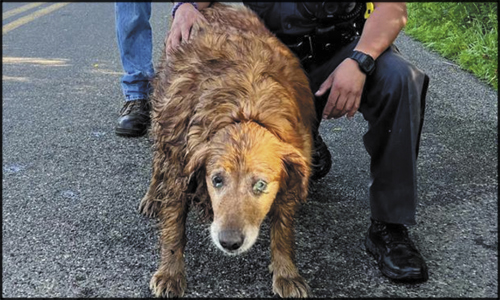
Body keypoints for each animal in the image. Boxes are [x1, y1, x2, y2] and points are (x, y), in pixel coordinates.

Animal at [139, 2, 314, 298]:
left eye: (261, 185)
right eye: (217, 180)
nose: (229, 242)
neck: (246, 106)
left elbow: (283, 229)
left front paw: (286, 272)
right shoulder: (179, 165)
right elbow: (174, 226)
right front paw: (170, 272)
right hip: (163, 120)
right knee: (156, 164)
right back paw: (152, 197)